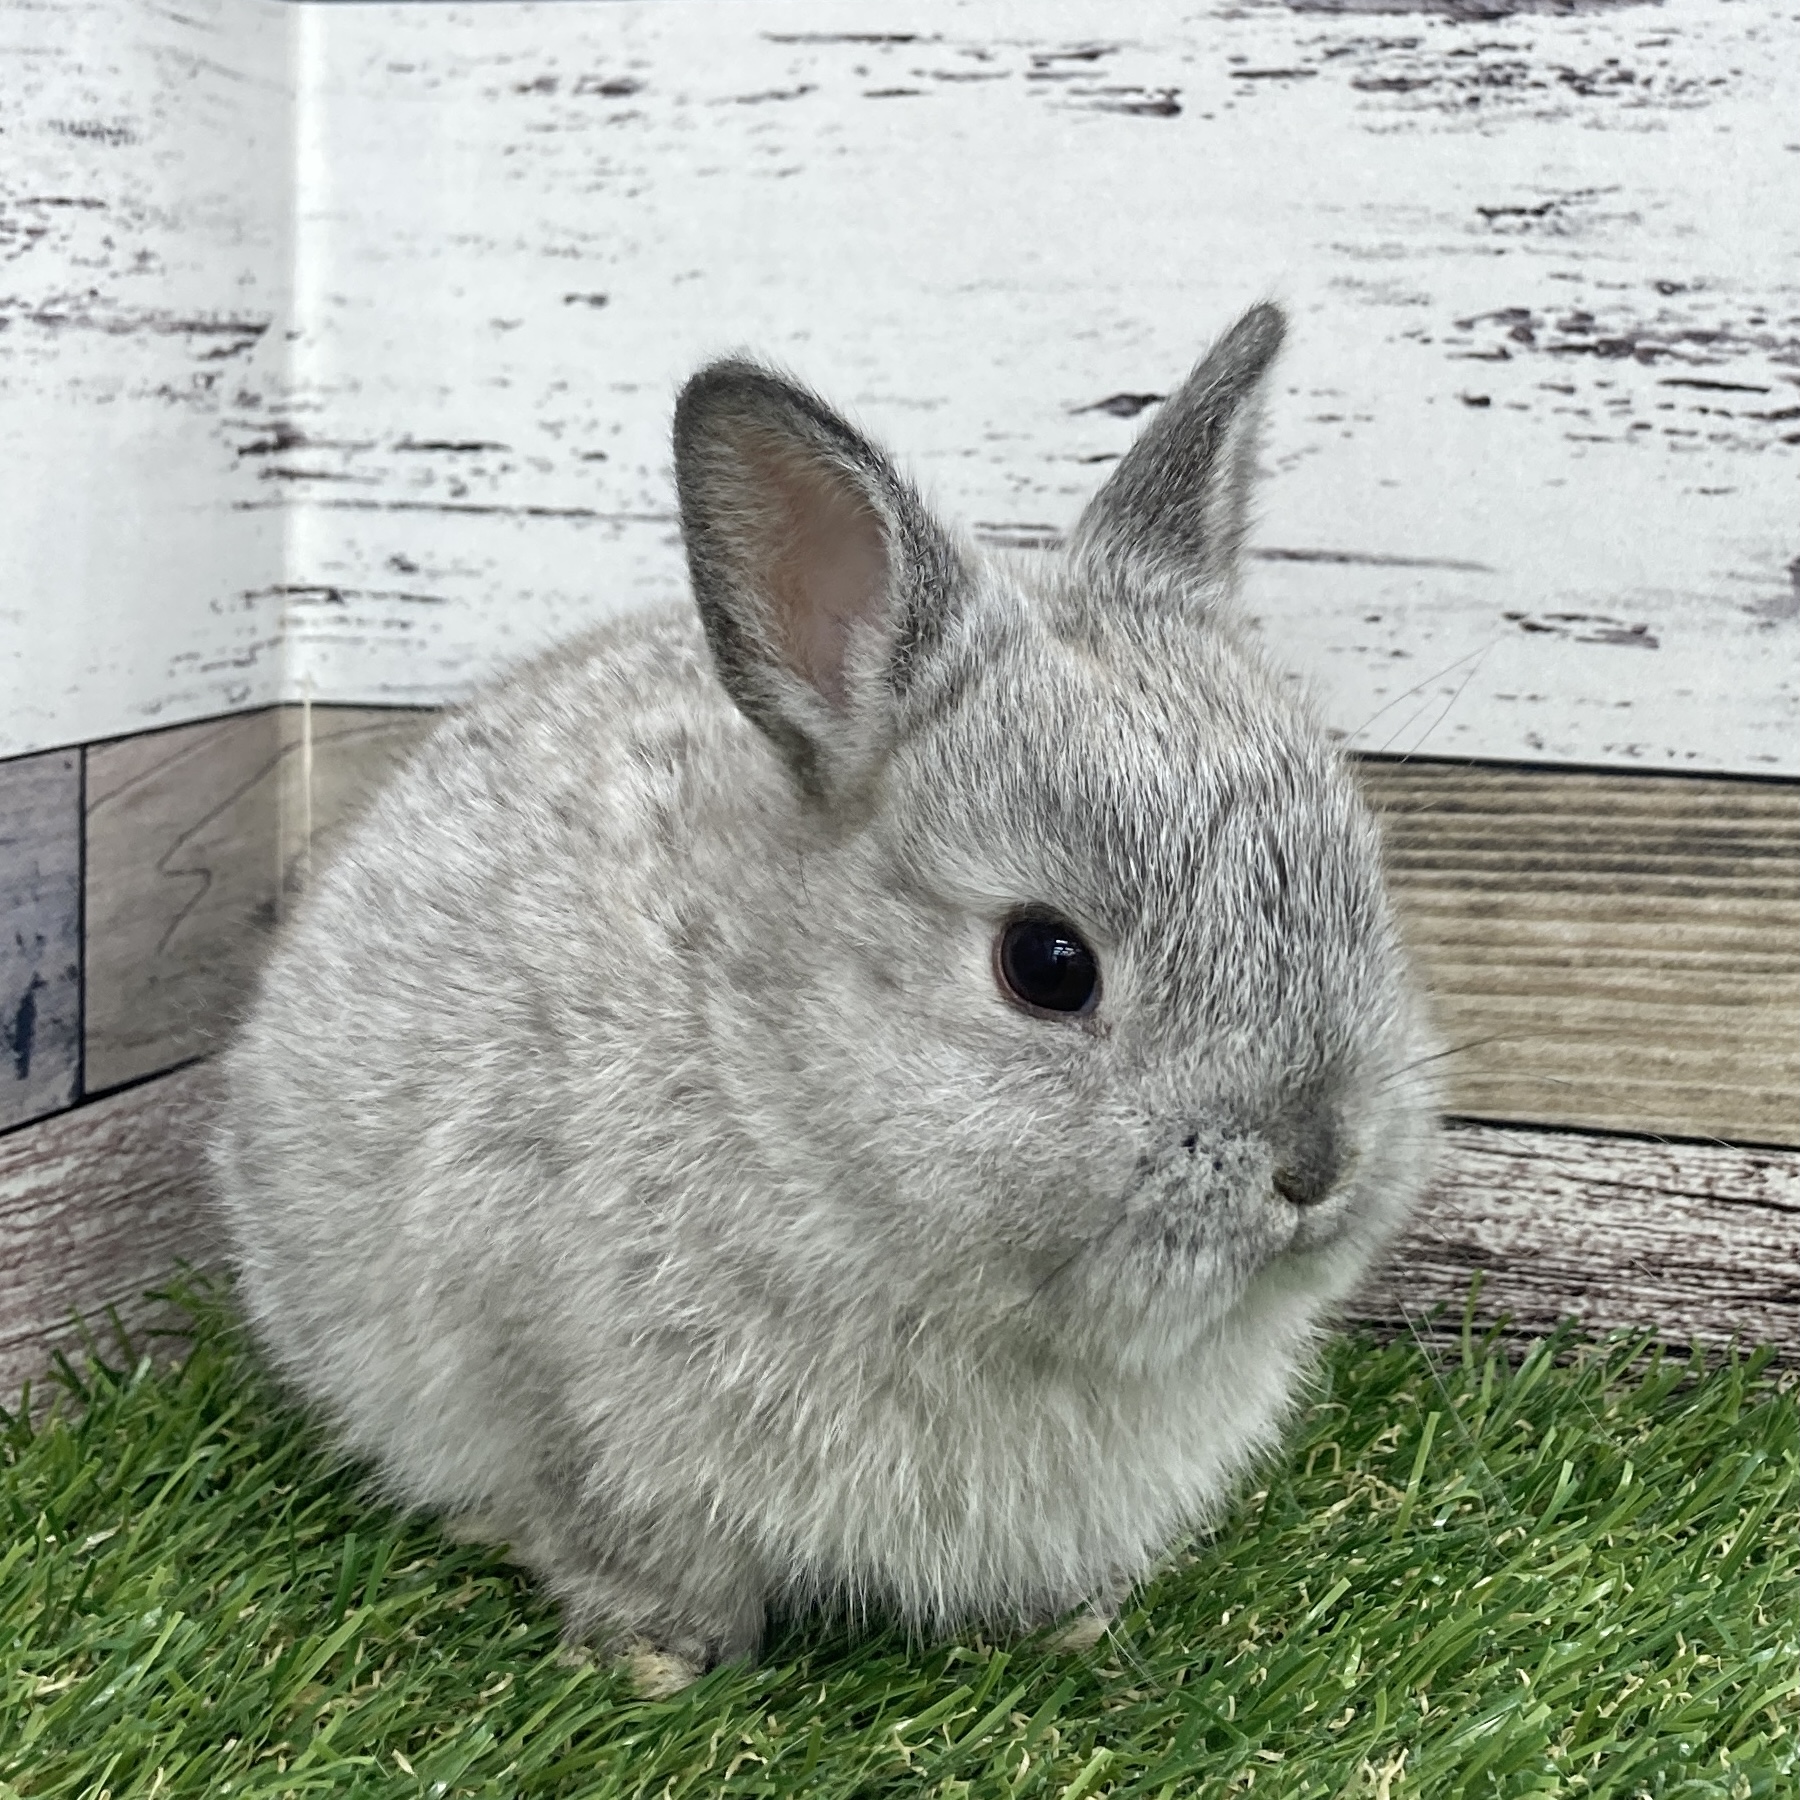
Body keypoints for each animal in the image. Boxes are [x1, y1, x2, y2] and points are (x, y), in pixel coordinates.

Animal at [213, 302, 1437, 1684]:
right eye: (1047, 964)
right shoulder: (558, 1388)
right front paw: (656, 1661)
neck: (795, 1107)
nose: (1316, 1166)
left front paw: (1065, 1623)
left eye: (1362, 883)